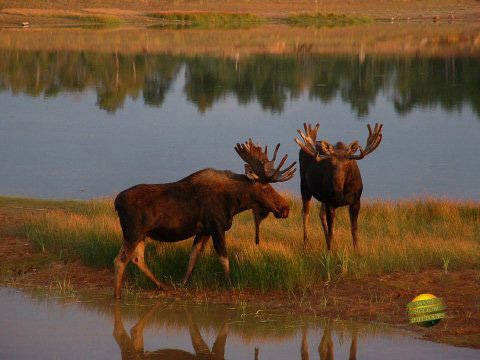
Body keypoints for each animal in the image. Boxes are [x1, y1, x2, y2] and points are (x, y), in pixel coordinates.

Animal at [113, 139, 296, 300]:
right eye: (265, 187)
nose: (285, 208)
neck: (235, 202)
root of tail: (117, 202)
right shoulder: (217, 227)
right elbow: (224, 258)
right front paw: (230, 286)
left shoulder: (204, 231)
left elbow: (193, 258)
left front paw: (183, 283)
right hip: (133, 232)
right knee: (120, 260)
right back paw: (117, 295)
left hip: (141, 234)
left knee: (137, 259)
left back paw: (162, 286)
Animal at [292, 122, 382, 252]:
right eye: (331, 163)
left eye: (347, 164)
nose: (336, 184)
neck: (342, 192)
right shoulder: (331, 202)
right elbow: (331, 231)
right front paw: (330, 251)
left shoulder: (356, 201)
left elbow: (354, 229)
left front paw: (356, 250)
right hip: (304, 186)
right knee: (305, 213)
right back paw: (306, 244)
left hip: (323, 197)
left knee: (320, 214)